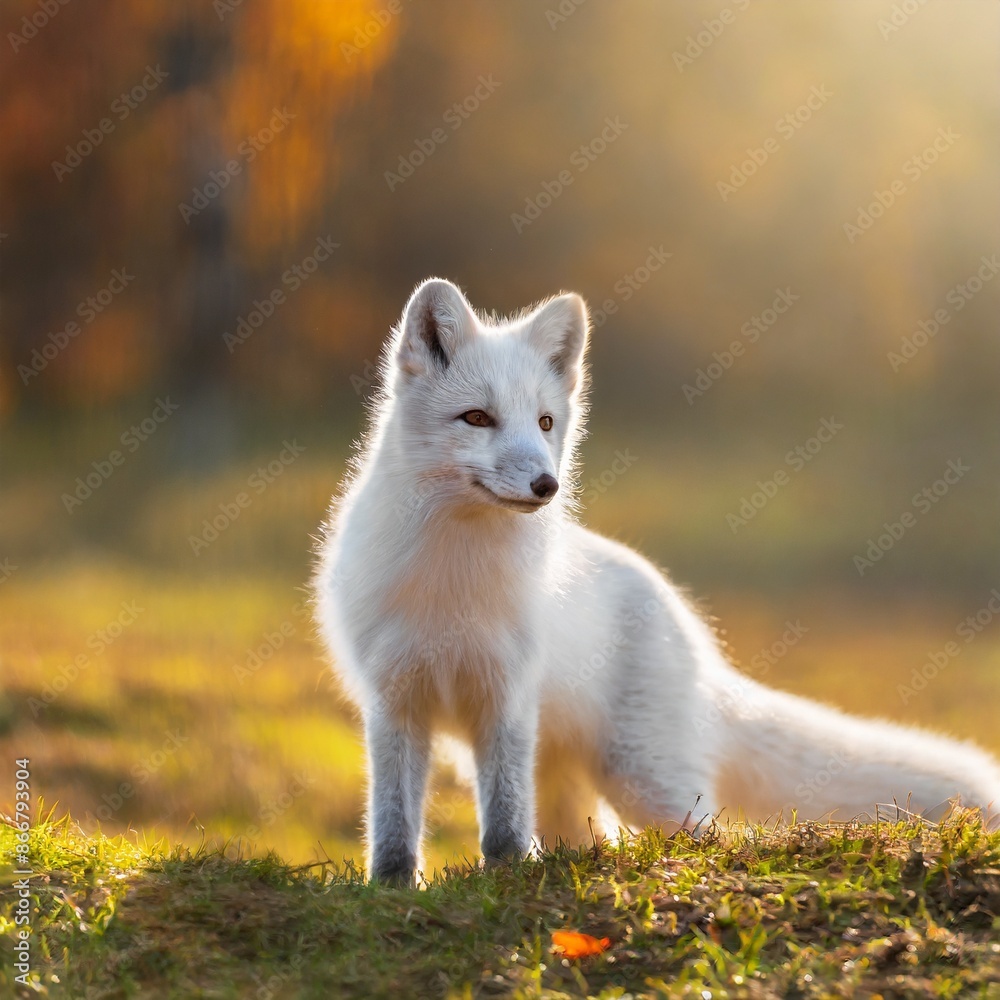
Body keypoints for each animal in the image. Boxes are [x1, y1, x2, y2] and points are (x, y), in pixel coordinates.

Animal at [314, 277, 1000, 883]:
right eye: (477, 418)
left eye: (544, 423)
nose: (546, 485)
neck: (451, 581)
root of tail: (694, 635)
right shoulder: (394, 701)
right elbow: (393, 824)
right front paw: (391, 889)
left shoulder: (507, 699)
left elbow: (505, 824)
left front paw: (503, 878)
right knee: (591, 838)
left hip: (646, 784)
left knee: (712, 838)